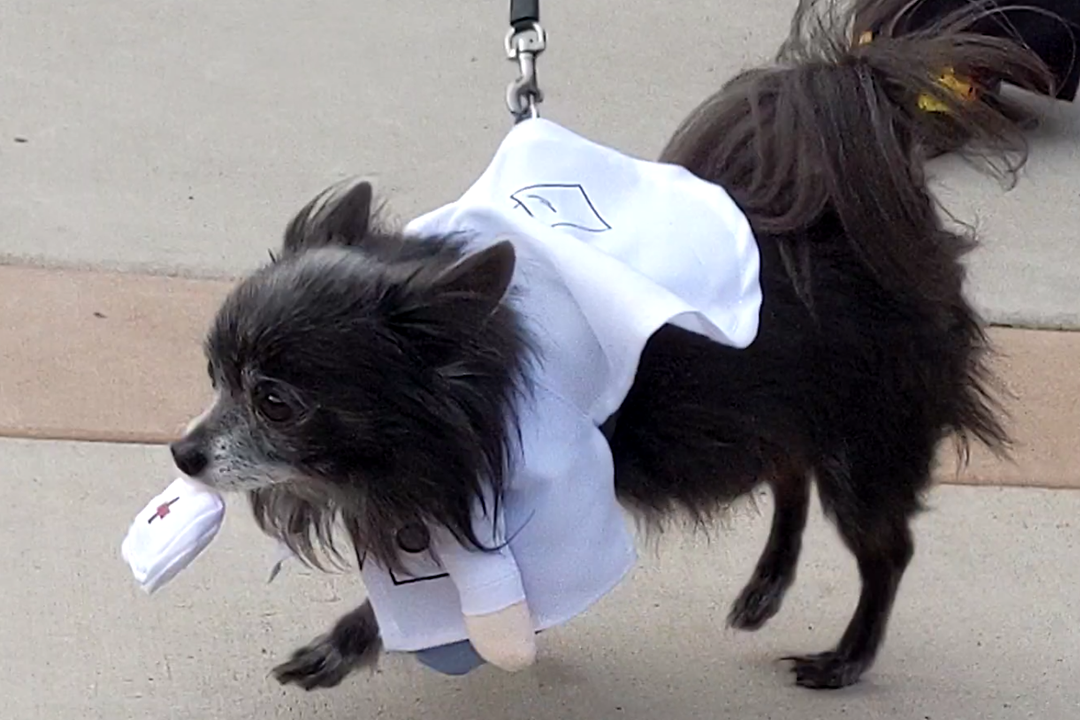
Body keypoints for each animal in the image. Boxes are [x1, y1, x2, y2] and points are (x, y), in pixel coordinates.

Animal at [170, 0, 1054, 695]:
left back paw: (847, 658)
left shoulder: (550, 513)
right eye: (215, 376)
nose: (183, 452)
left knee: (885, 549)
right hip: (769, 414)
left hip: (861, 449)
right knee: (788, 473)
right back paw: (766, 587)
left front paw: (348, 643)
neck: (472, 384)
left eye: (276, 402)